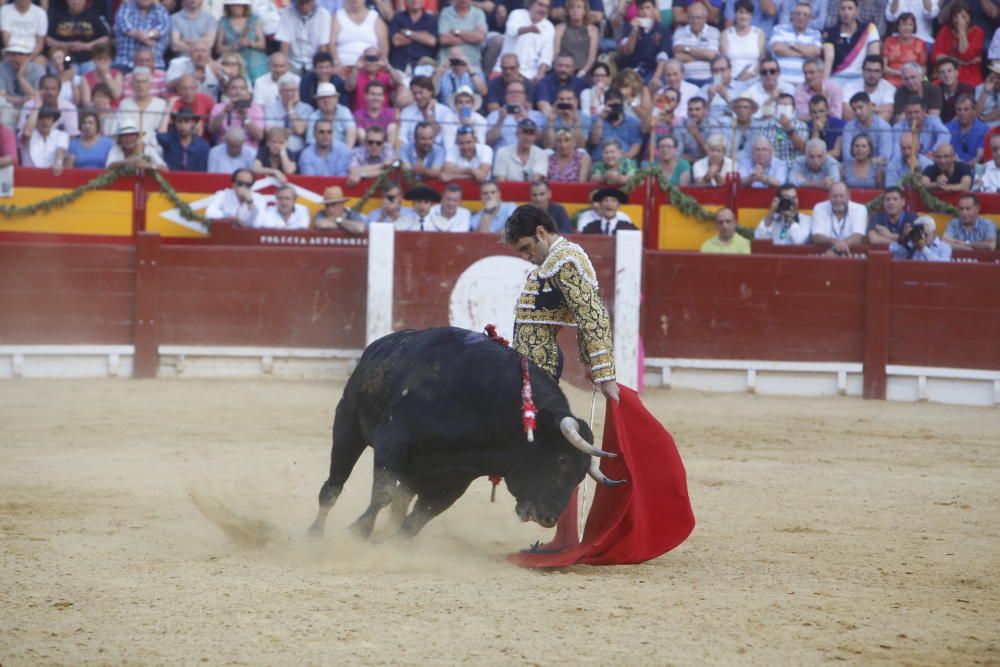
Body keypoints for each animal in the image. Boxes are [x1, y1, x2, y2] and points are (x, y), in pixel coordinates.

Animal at [304, 326, 620, 540]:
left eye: (581, 475)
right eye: (562, 460)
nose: (548, 518)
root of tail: (381, 344)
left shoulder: (458, 478)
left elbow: (418, 519)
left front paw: (392, 545)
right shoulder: (392, 440)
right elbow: (383, 492)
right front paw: (358, 531)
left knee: (401, 503)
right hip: (347, 426)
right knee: (333, 486)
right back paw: (315, 533)